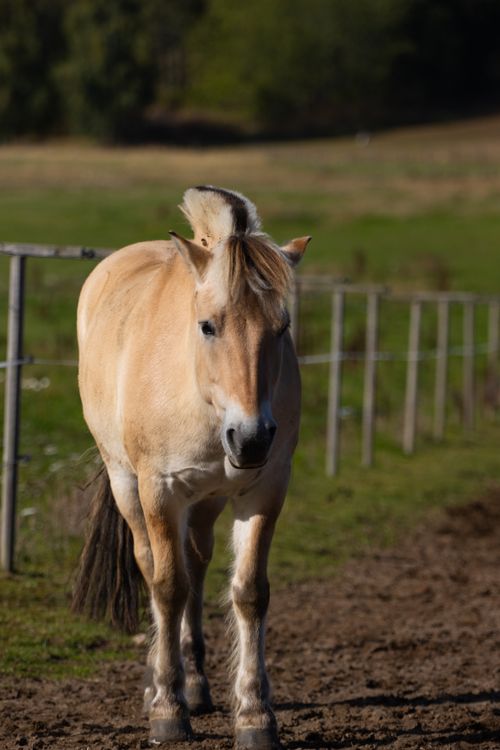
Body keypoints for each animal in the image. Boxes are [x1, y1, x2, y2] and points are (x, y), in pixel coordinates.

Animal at [73, 186, 310, 749]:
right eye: (207, 326)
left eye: (282, 327)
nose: (251, 437)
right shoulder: (160, 489)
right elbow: (167, 586)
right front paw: (167, 707)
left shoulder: (265, 488)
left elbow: (248, 592)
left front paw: (254, 714)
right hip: (127, 484)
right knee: (154, 565)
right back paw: (162, 684)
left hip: (209, 499)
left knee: (197, 562)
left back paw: (197, 683)